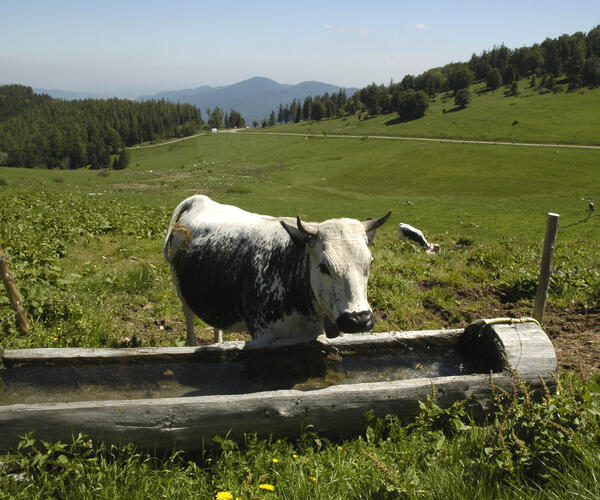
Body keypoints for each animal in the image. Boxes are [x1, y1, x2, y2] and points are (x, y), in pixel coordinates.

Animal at [164, 194, 392, 344]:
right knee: (189, 318)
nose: (359, 320)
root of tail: (198, 199)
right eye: (324, 266)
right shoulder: (262, 336)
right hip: (181, 291)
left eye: (370, 263)